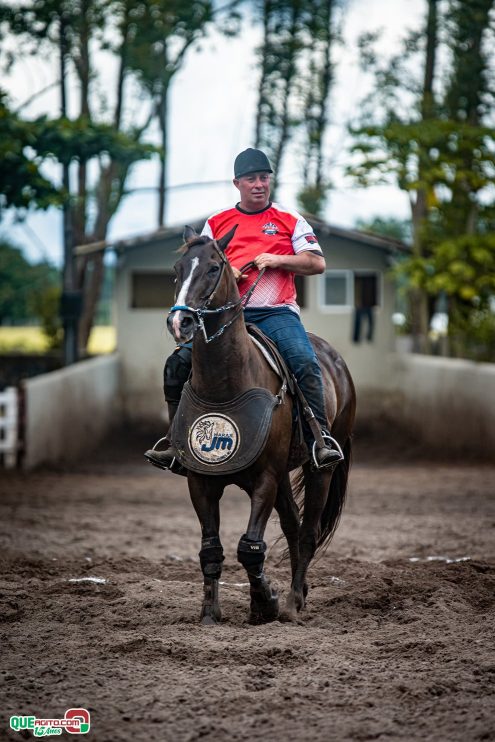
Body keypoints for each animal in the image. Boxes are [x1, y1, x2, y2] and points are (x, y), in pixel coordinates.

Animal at [167, 227, 356, 628]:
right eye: (177, 269)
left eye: (213, 268)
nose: (181, 323)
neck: (227, 384)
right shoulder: (200, 482)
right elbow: (211, 549)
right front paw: (210, 613)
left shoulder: (265, 478)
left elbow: (250, 548)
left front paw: (265, 603)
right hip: (284, 474)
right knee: (293, 525)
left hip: (319, 469)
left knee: (308, 531)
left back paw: (294, 602)